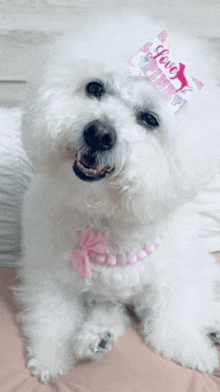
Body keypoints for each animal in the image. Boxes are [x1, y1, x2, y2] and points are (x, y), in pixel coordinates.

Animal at [15, 11, 220, 382]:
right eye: (95, 88)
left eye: (149, 119)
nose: (99, 133)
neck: (105, 216)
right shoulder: (49, 279)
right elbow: (53, 320)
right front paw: (52, 358)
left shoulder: (172, 278)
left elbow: (174, 320)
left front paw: (193, 349)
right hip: (103, 297)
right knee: (109, 310)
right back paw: (97, 337)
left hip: (194, 262)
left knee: (204, 288)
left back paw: (212, 325)